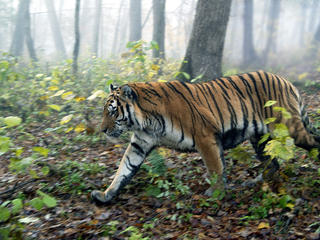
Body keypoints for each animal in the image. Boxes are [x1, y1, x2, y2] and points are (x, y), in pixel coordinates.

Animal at [90, 70, 320, 203]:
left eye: (112, 111)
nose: (102, 130)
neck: (145, 121)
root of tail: (286, 81)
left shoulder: (205, 137)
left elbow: (215, 168)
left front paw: (216, 194)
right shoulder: (140, 144)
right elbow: (124, 169)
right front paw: (105, 194)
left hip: (291, 128)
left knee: (313, 142)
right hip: (260, 138)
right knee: (272, 162)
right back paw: (256, 181)